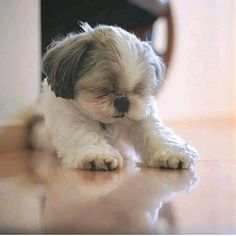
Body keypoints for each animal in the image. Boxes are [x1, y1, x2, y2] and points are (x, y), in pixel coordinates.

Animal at [39, 23, 198, 171]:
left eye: (138, 90)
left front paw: (170, 153)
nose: (123, 101)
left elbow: (154, 133)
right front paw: (98, 155)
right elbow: (85, 135)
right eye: (104, 89)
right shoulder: (72, 119)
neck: (108, 122)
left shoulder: (142, 116)